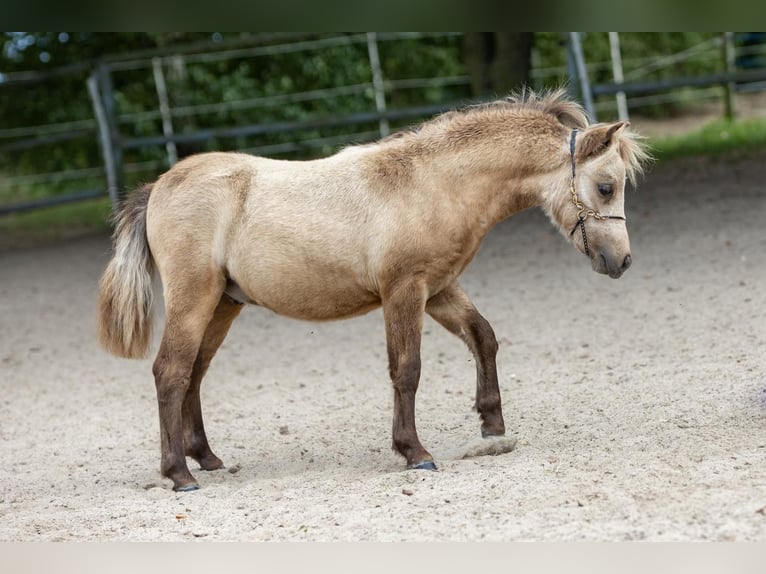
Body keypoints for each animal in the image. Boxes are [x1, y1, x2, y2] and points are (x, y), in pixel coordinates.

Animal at [97, 88, 650, 491]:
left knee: (193, 374)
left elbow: (483, 337)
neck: (434, 183)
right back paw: (179, 475)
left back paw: (206, 458)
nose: (622, 261)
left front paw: (492, 426)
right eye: (606, 186)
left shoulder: (440, 288)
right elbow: (407, 369)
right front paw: (415, 452)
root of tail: (159, 187)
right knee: (170, 373)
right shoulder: (404, 290)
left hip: (223, 305)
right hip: (194, 299)